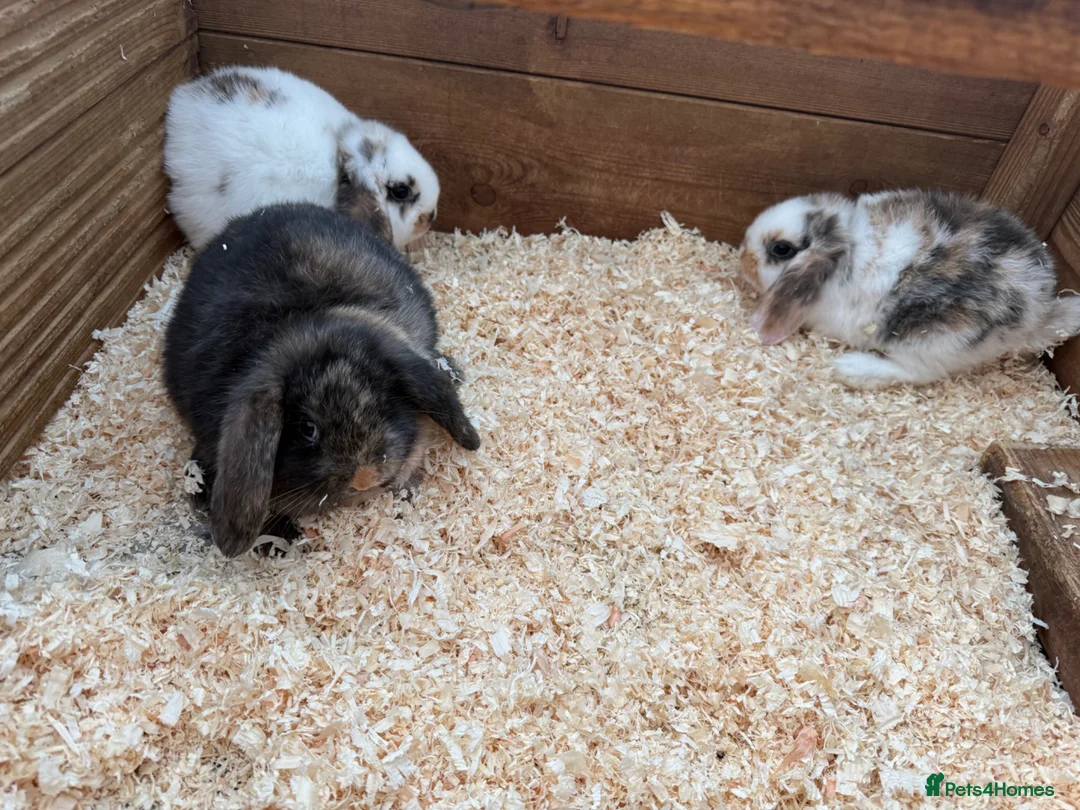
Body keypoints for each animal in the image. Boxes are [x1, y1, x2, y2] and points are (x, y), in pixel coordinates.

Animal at [739, 189, 1080, 388]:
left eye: (781, 249)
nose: (743, 258)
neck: (844, 250)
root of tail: (1037, 313)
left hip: (933, 341)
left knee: (915, 372)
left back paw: (850, 369)